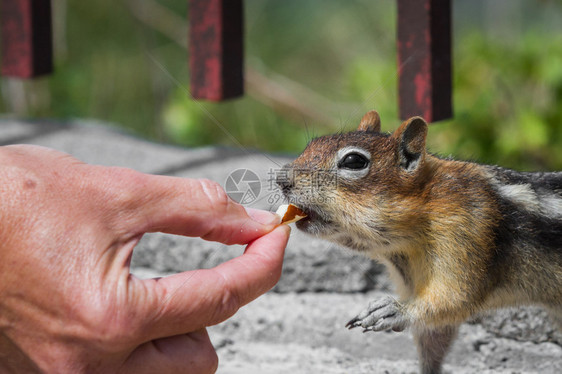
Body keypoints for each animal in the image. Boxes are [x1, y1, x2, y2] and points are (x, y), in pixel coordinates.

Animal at [274, 111, 560, 374]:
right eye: (312, 143)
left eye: (354, 161)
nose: (281, 179)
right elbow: (434, 339)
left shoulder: (469, 233)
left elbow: (453, 298)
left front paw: (392, 309)